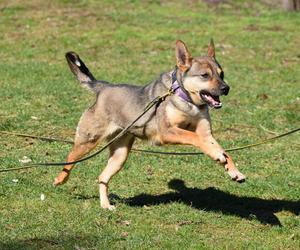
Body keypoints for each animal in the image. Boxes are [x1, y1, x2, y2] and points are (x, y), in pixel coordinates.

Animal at [54, 40, 246, 210]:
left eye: (221, 74)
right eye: (205, 75)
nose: (226, 88)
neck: (187, 99)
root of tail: (103, 88)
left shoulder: (206, 133)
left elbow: (219, 148)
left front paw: (233, 170)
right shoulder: (167, 132)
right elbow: (194, 137)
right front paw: (218, 156)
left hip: (120, 155)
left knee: (102, 177)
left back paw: (105, 205)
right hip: (88, 140)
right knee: (70, 157)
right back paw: (60, 179)